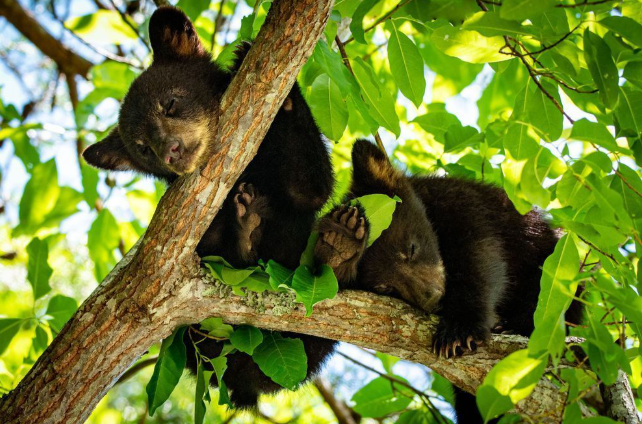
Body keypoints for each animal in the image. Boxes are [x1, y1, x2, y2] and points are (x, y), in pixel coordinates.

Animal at [82, 6, 338, 408]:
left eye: (171, 103)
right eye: (142, 148)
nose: (169, 151)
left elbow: (309, 189)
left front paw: (254, 65)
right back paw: (248, 226)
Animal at [312, 139, 584, 423]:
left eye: (411, 248)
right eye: (384, 287)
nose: (431, 297)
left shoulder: (463, 205)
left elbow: (480, 257)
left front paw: (459, 331)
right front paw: (339, 250)